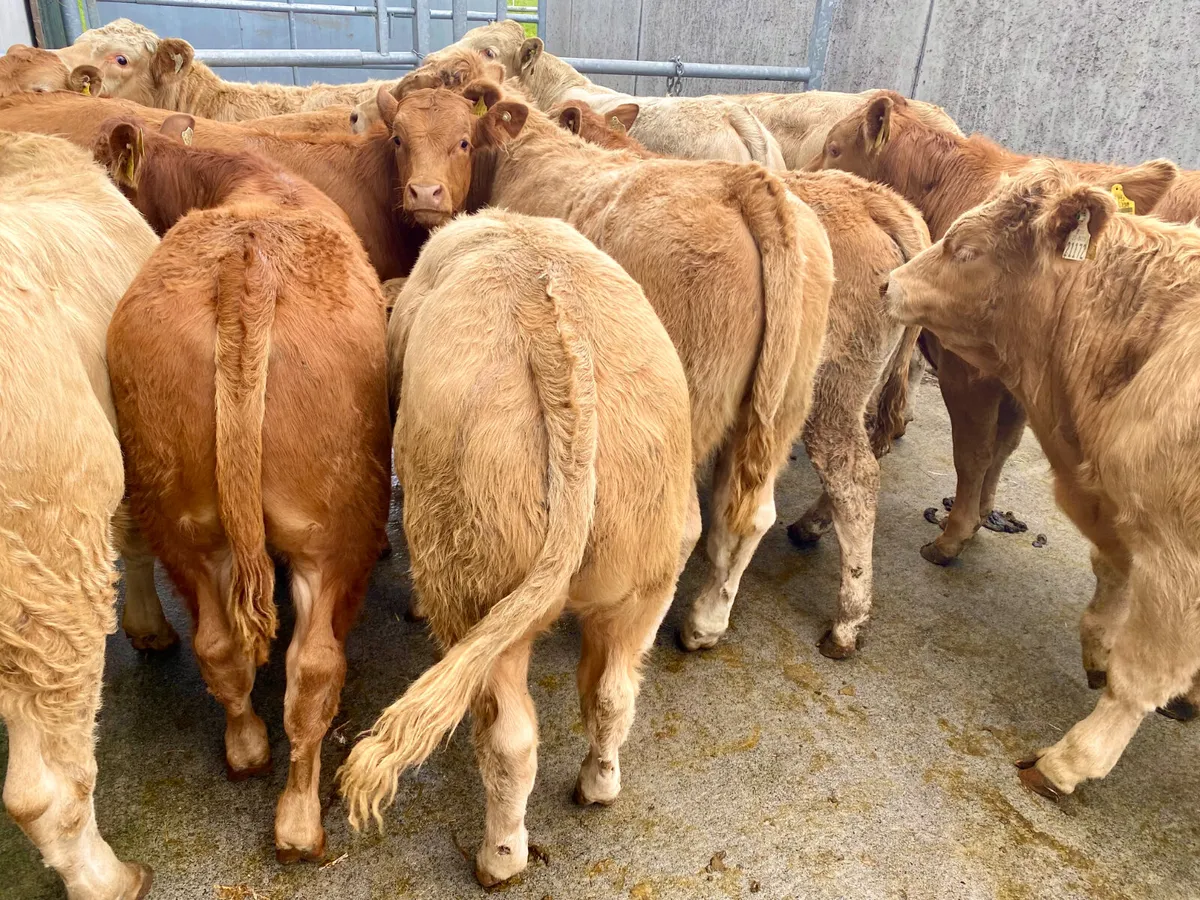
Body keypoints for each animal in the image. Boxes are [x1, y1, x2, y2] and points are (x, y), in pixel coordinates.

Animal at [95, 113, 391, 861]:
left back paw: (247, 750)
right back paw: (298, 821)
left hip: (182, 518)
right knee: (311, 670)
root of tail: (246, 263)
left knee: (220, 648)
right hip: (329, 534)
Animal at [338, 209, 693, 887]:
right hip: (650, 572)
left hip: (477, 584)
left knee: (510, 739)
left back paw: (499, 857)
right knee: (613, 691)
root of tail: (556, 326)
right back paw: (597, 785)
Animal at [376, 80, 833, 652]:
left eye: (462, 140)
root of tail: (747, 183)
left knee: (686, 527)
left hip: (687, 412)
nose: (425, 193)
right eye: (398, 138)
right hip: (784, 404)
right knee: (750, 516)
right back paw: (706, 621)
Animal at [812, 90, 1180, 566]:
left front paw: (954, 535)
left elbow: (974, 452)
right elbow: (1003, 448)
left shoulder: (968, 373)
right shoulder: (1018, 386)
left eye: (835, 148)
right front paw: (981, 513)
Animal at [884, 161, 1200, 797]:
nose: (889, 283)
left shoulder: (1178, 561)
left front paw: (1070, 761)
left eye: (967, 249)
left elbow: (1142, 674)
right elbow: (1109, 586)